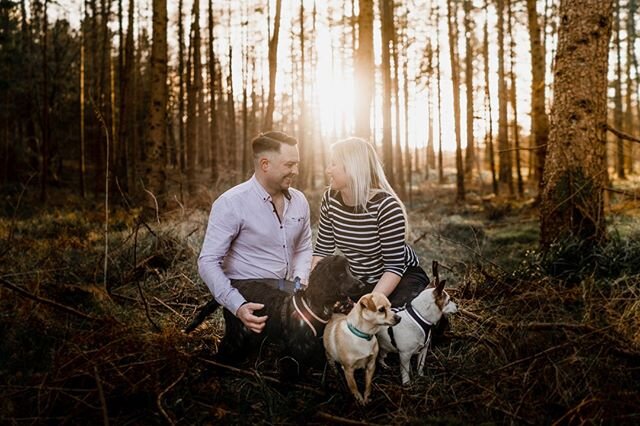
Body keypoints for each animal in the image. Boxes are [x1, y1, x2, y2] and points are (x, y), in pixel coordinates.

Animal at [185, 255, 364, 374]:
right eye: (341, 275)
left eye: (349, 271)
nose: (362, 285)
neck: (314, 304)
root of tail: (232, 288)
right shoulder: (295, 350)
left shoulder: (316, 344)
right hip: (237, 330)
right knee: (225, 348)